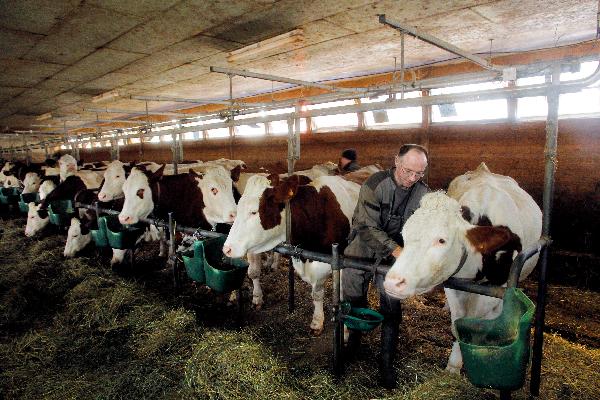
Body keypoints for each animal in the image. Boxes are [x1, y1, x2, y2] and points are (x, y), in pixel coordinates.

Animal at [384, 162, 544, 372]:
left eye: (441, 240)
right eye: (405, 234)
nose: (393, 282)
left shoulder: (498, 287)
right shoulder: (454, 283)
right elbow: (458, 324)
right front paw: (453, 367)